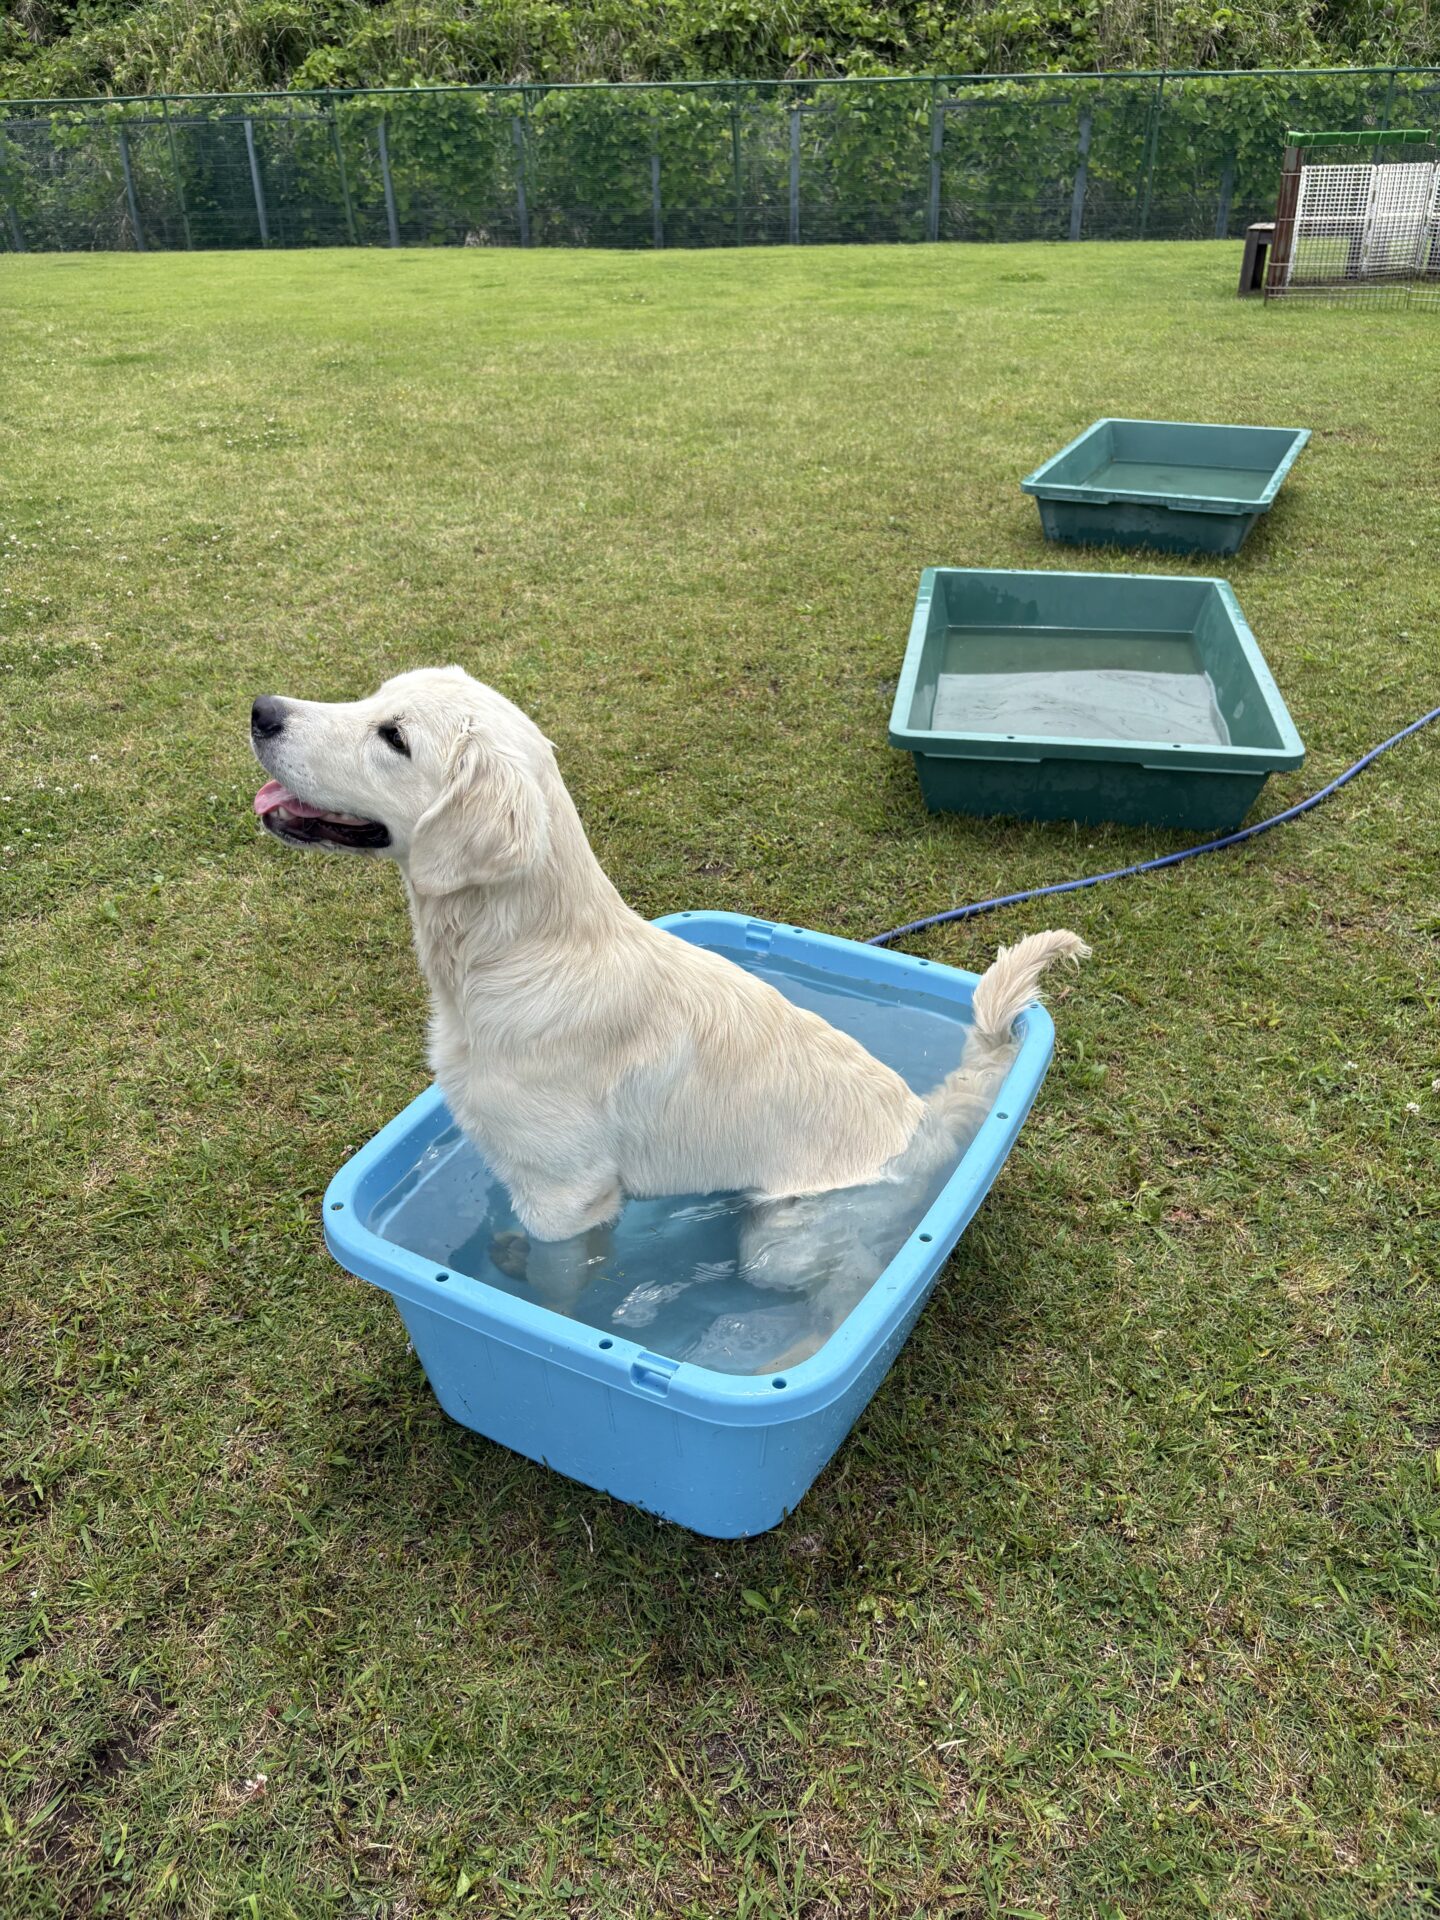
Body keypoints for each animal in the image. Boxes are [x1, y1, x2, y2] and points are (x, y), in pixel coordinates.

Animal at [251, 667, 1087, 1358]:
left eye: (393, 737)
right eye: (371, 696)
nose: (261, 710)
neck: (513, 953)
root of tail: (922, 1121)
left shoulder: (566, 1194)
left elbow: (559, 1286)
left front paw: (545, 1309)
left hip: (781, 1242)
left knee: (845, 1287)